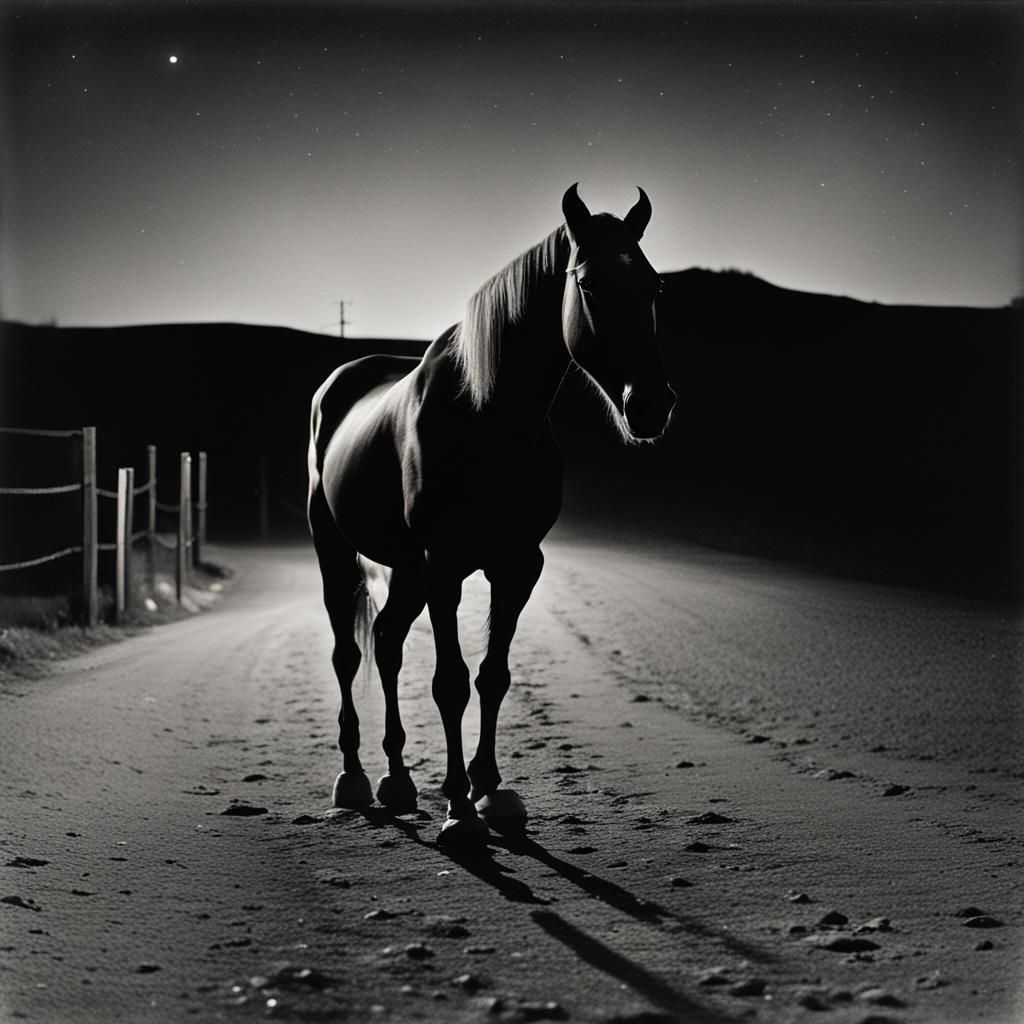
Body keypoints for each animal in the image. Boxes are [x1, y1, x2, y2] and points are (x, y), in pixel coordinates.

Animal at [308, 183, 675, 845]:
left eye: (654, 286)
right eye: (588, 284)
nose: (651, 404)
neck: (488, 416)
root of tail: (340, 381)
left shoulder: (517, 565)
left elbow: (493, 676)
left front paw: (492, 791)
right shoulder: (446, 566)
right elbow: (451, 683)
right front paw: (459, 807)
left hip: (408, 570)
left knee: (388, 643)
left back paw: (397, 778)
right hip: (338, 551)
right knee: (349, 654)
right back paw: (354, 778)